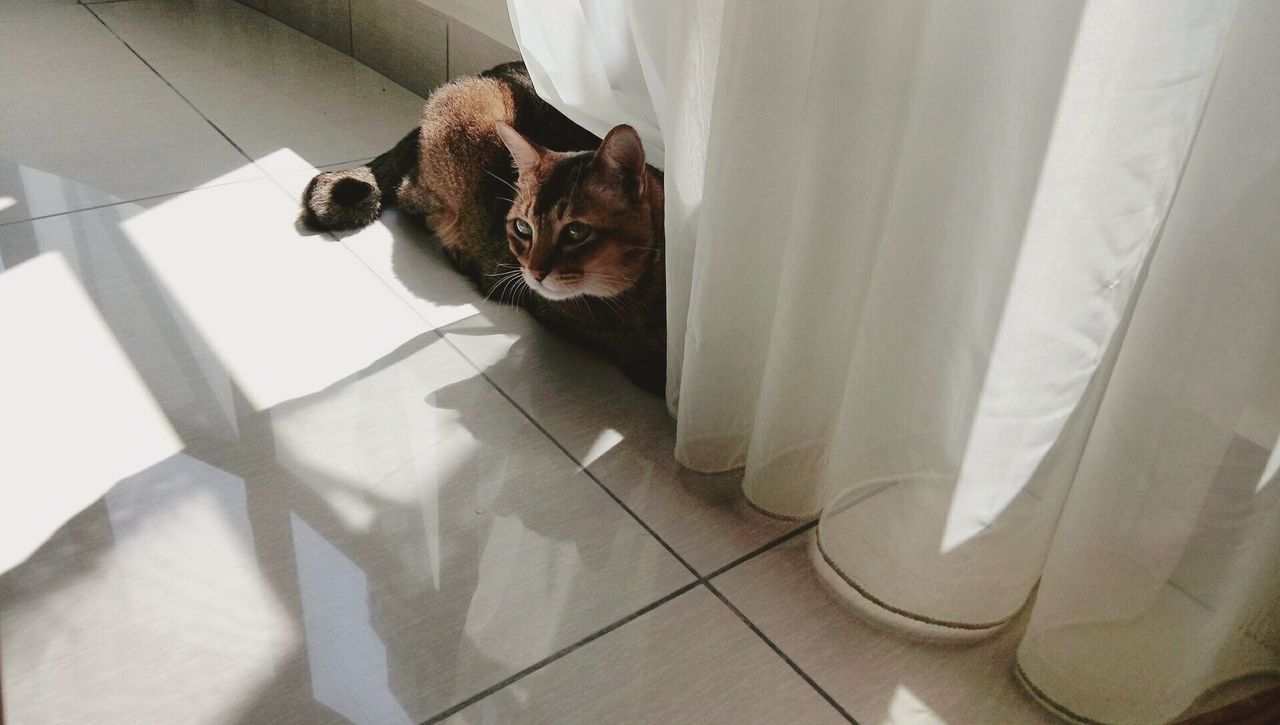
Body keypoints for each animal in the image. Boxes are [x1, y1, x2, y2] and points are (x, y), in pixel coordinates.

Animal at [296, 61, 660, 391]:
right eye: (527, 229)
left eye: (576, 232)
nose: (538, 270)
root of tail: (490, 71)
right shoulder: (564, 310)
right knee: (411, 192)